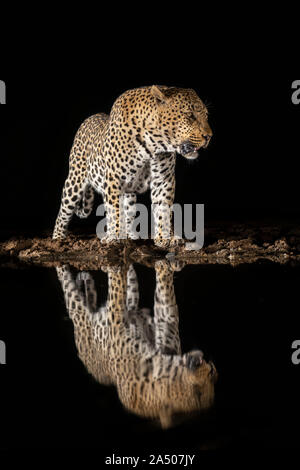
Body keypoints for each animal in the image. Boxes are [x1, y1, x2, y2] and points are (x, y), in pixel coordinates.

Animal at [53, 86, 213, 248]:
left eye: (206, 115)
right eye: (190, 115)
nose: (209, 136)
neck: (153, 144)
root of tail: (90, 118)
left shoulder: (163, 180)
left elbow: (163, 209)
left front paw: (165, 237)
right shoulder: (113, 180)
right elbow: (114, 211)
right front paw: (115, 237)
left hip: (129, 194)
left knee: (128, 213)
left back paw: (130, 236)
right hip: (74, 181)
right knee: (64, 211)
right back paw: (58, 238)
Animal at [55, 260, 216, 430]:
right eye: (212, 372)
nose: (209, 362)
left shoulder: (151, 325)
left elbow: (126, 294)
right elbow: (125, 294)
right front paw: (160, 268)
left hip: (109, 304)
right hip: (83, 309)